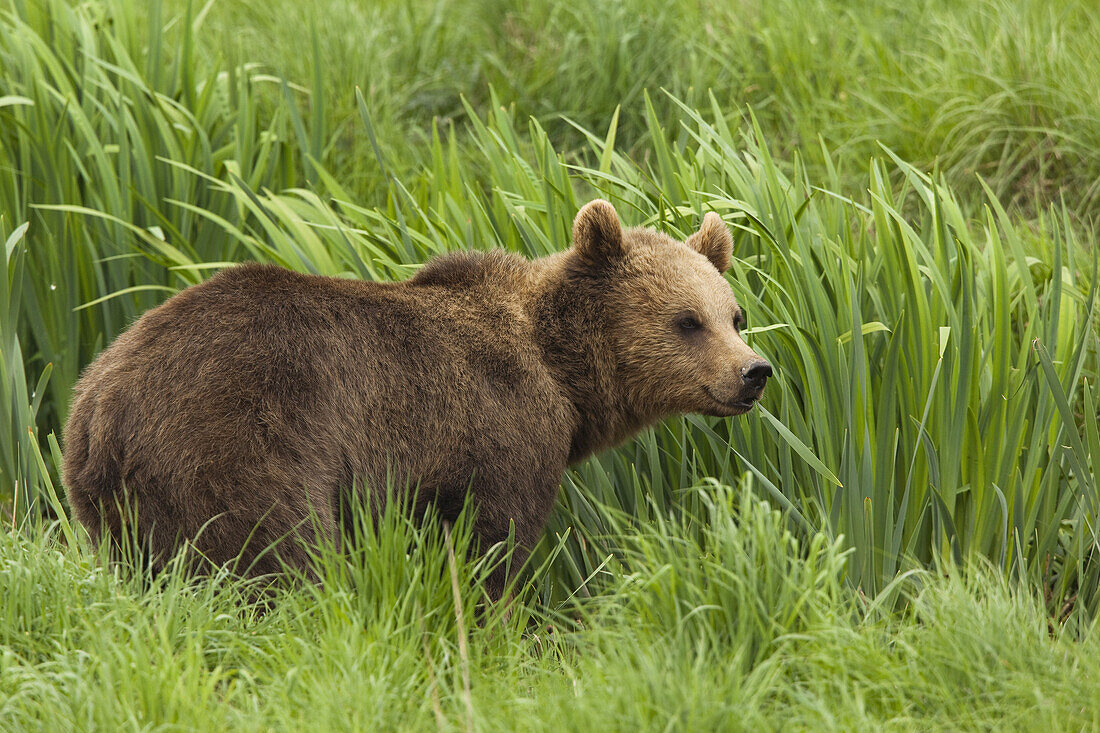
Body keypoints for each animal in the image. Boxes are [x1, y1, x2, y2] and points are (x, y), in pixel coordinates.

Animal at [62, 197, 774, 598]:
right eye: (687, 320)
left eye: (735, 315)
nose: (754, 372)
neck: (564, 376)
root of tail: (100, 400)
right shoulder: (497, 429)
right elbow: (492, 546)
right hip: (240, 436)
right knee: (275, 552)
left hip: (115, 502)